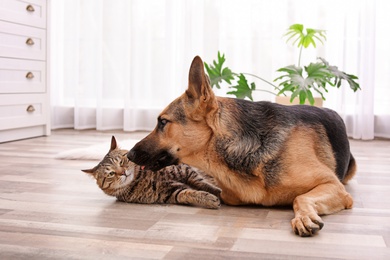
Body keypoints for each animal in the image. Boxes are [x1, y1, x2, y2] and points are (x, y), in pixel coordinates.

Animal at [81, 136, 222, 209]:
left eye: (121, 162)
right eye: (110, 174)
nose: (123, 173)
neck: (140, 177)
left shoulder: (185, 170)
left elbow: (201, 182)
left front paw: (217, 191)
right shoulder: (170, 193)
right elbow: (188, 193)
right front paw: (210, 198)